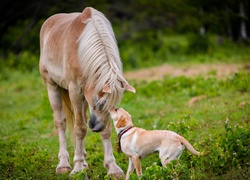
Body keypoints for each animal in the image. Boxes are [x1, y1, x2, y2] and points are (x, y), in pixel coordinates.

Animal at [39, 6, 136, 176]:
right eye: (98, 103)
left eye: (112, 106)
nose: (96, 128)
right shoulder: (75, 91)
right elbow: (79, 128)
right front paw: (77, 167)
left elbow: (106, 130)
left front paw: (112, 167)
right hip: (52, 86)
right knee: (60, 122)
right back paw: (64, 164)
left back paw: (83, 158)